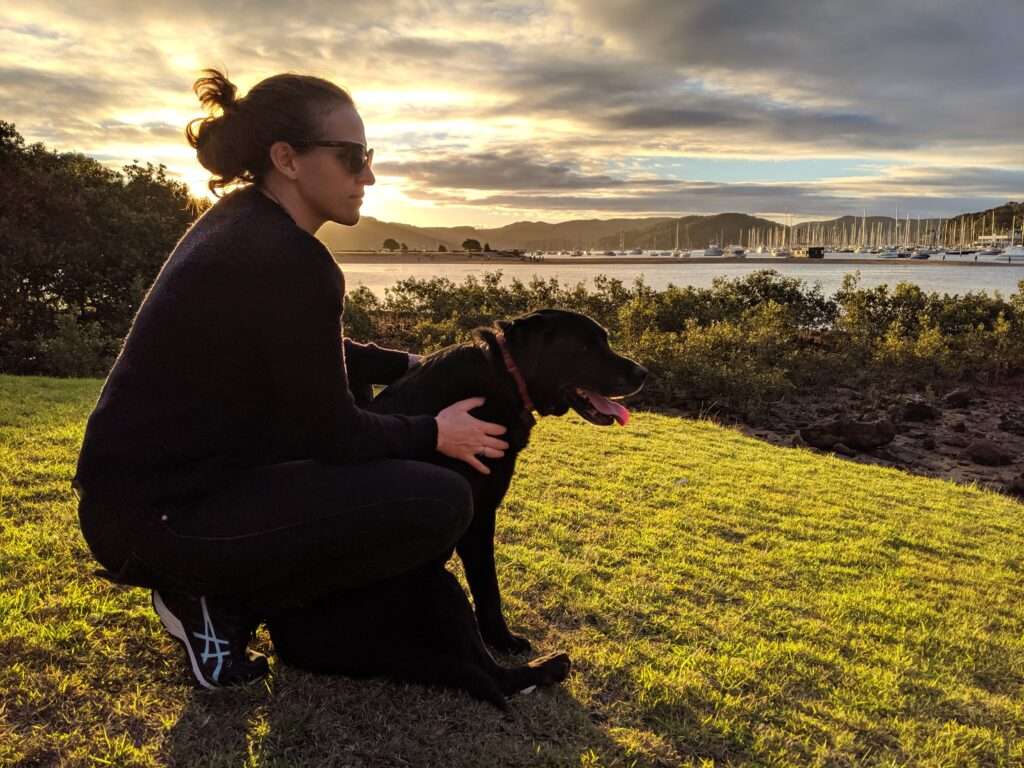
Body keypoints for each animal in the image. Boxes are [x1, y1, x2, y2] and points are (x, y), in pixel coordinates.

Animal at [266, 309, 647, 708]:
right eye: (587, 346)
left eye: (605, 340)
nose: (643, 374)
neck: (504, 377)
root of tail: (287, 645)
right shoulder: (479, 518)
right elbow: (489, 588)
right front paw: (505, 640)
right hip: (439, 583)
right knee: (494, 677)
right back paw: (548, 667)